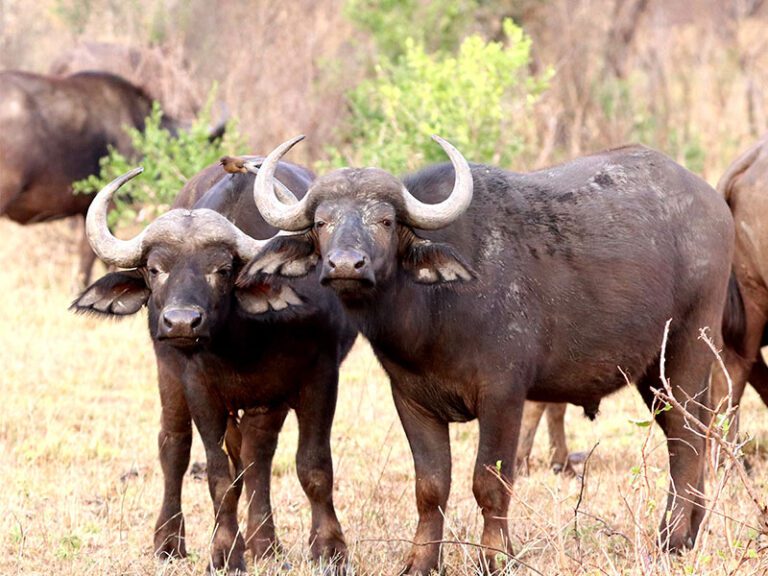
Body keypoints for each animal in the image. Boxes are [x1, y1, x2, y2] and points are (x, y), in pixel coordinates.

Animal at [71, 158, 355, 573]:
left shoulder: (320, 376)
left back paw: (265, 544)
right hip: (169, 373)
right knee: (174, 446)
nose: (181, 322)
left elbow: (313, 466)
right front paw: (225, 553)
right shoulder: (200, 388)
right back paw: (169, 542)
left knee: (257, 455)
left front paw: (330, 550)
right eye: (155, 269)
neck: (244, 341)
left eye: (222, 269)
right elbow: (219, 476)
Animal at [242, 136, 733, 573]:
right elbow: (431, 486)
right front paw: (422, 561)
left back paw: (673, 538)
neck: (434, 311)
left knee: (687, 438)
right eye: (321, 222)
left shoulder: (503, 397)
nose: (346, 265)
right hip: (653, 373)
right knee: (687, 431)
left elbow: (490, 482)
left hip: (688, 349)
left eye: (384, 221)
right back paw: (690, 527)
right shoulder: (412, 401)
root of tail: (713, 203)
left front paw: (495, 557)